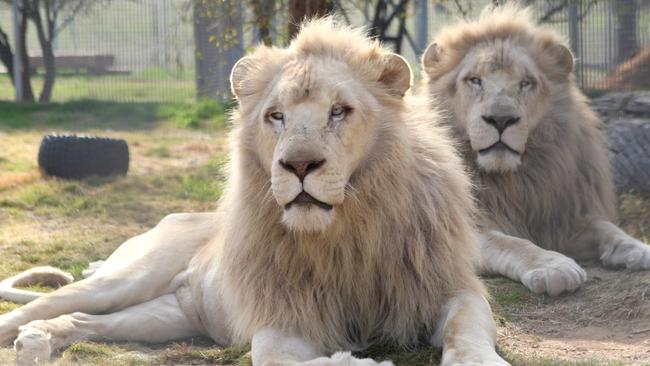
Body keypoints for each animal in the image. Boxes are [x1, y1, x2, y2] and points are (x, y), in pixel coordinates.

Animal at [0, 19, 506, 366]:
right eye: (276, 116)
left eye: (339, 111)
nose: (298, 166)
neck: (345, 231)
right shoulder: (282, 316)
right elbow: (277, 357)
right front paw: (354, 361)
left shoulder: (448, 287)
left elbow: (467, 329)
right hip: (126, 280)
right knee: (44, 307)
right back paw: (25, 337)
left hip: (165, 314)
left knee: (83, 322)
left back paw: (37, 343)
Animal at [420, 5, 648, 298]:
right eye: (475, 81)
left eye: (526, 83)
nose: (501, 120)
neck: (513, 181)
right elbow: (511, 243)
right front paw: (553, 267)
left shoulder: (560, 216)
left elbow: (606, 227)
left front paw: (639, 249)